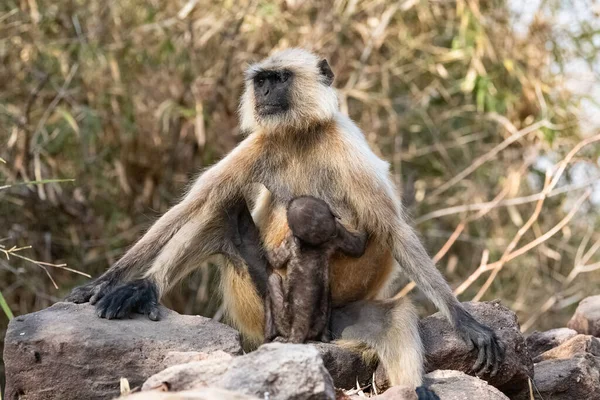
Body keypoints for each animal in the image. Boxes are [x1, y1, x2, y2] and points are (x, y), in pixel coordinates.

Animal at [68, 47, 504, 396]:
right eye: (261, 80)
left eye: (279, 79)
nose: (263, 93)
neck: (300, 135)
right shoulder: (260, 142)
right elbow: (193, 205)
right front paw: (108, 281)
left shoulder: (344, 146)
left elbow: (393, 231)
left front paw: (465, 321)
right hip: (257, 300)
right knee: (215, 211)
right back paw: (145, 289)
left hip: (338, 314)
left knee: (394, 315)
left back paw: (414, 387)